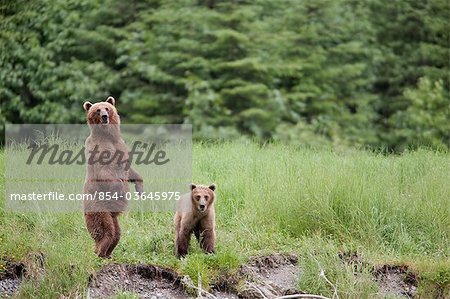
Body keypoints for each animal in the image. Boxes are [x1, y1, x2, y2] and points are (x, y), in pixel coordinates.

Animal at [82, 97, 142, 258]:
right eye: (98, 110)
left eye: (107, 108)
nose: (104, 116)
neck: (108, 135)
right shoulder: (99, 149)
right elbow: (104, 172)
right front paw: (121, 189)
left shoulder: (120, 145)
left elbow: (130, 169)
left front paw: (140, 188)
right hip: (98, 207)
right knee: (106, 231)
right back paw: (100, 252)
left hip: (113, 216)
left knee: (117, 233)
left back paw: (109, 253)